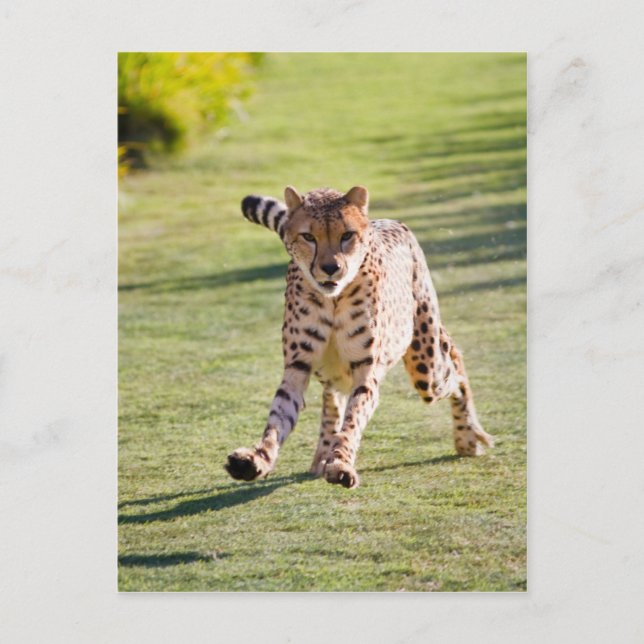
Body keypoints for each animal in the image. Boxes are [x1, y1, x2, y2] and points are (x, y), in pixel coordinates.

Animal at [225, 185, 493, 489]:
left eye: (346, 235)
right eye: (308, 237)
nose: (330, 268)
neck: (332, 299)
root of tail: (391, 222)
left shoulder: (366, 371)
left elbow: (353, 419)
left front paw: (340, 463)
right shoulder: (297, 368)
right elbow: (278, 418)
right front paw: (256, 459)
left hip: (426, 364)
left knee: (454, 363)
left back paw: (468, 436)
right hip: (330, 371)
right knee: (332, 398)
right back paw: (321, 454)